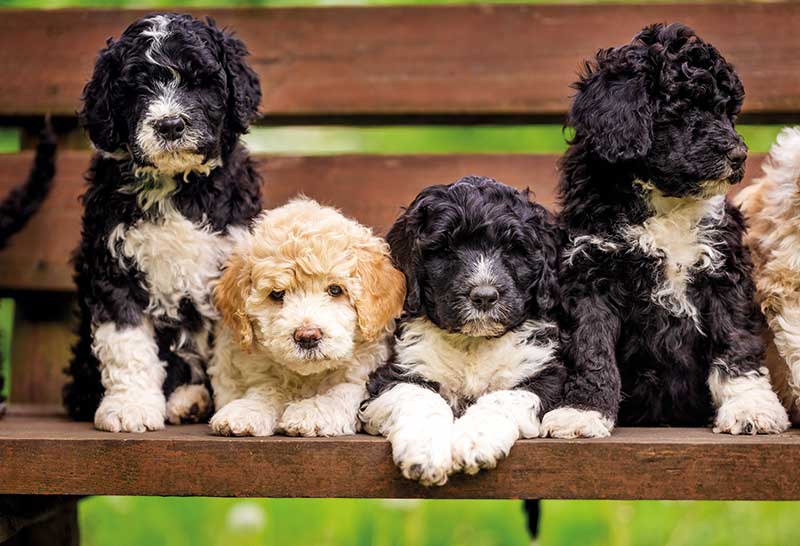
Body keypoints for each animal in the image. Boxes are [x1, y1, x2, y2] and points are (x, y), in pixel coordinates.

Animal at [63, 12, 262, 430]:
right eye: (136, 88)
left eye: (200, 81)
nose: (170, 125)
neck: (177, 187)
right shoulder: (113, 267)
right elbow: (127, 342)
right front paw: (130, 406)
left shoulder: (230, 267)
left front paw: (238, 404)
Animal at [208, 198, 406, 436]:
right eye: (277, 294)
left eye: (335, 290)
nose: (307, 336)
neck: (307, 376)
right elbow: (268, 388)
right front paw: (247, 410)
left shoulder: (365, 372)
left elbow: (342, 389)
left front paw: (312, 412)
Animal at [360, 175, 564, 484]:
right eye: (445, 249)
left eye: (512, 249)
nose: (484, 296)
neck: (473, 344)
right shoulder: (396, 372)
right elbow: (421, 397)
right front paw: (425, 452)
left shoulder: (548, 374)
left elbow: (503, 397)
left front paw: (475, 441)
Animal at [544, 22, 788, 438]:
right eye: (684, 108)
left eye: (728, 112)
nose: (739, 155)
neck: (667, 200)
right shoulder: (589, 271)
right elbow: (590, 348)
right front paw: (582, 411)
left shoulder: (722, 270)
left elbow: (736, 342)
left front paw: (750, 407)